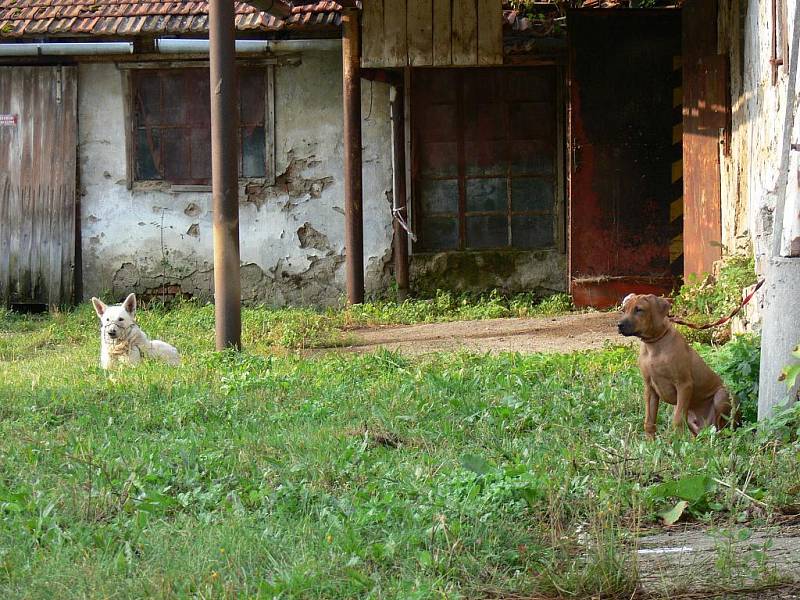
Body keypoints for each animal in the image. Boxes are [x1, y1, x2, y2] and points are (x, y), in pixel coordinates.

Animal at [620, 294, 732, 438]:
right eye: (624, 310)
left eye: (639, 310)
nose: (619, 325)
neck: (654, 344)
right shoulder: (649, 388)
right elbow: (649, 421)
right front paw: (651, 441)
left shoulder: (684, 385)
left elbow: (677, 420)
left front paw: (676, 441)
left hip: (721, 395)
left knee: (720, 427)